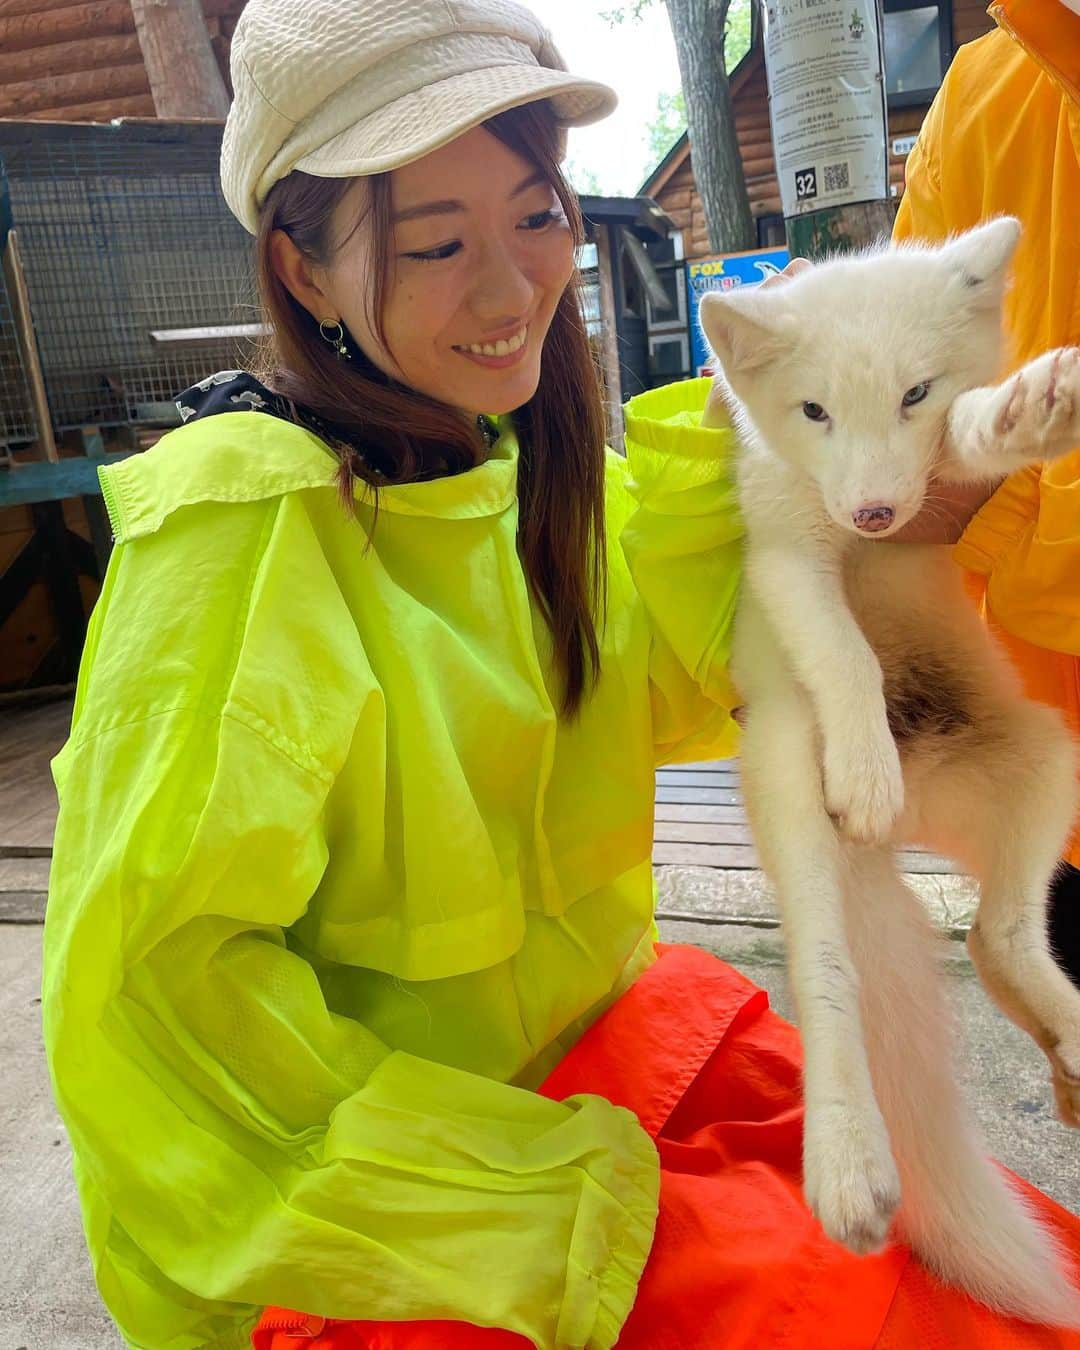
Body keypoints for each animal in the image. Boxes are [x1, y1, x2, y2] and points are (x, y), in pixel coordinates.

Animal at [702, 216, 1080, 1323]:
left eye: (915, 392)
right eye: (814, 410)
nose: (873, 512)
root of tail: (918, 828)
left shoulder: (935, 484)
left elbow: (964, 440)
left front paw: (1022, 414)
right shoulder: (784, 558)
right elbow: (844, 654)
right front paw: (866, 768)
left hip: (1048, 756)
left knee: (999, 938)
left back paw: (1069, 1036)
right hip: (789, 772)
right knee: (828, 975)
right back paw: (848, 1157)